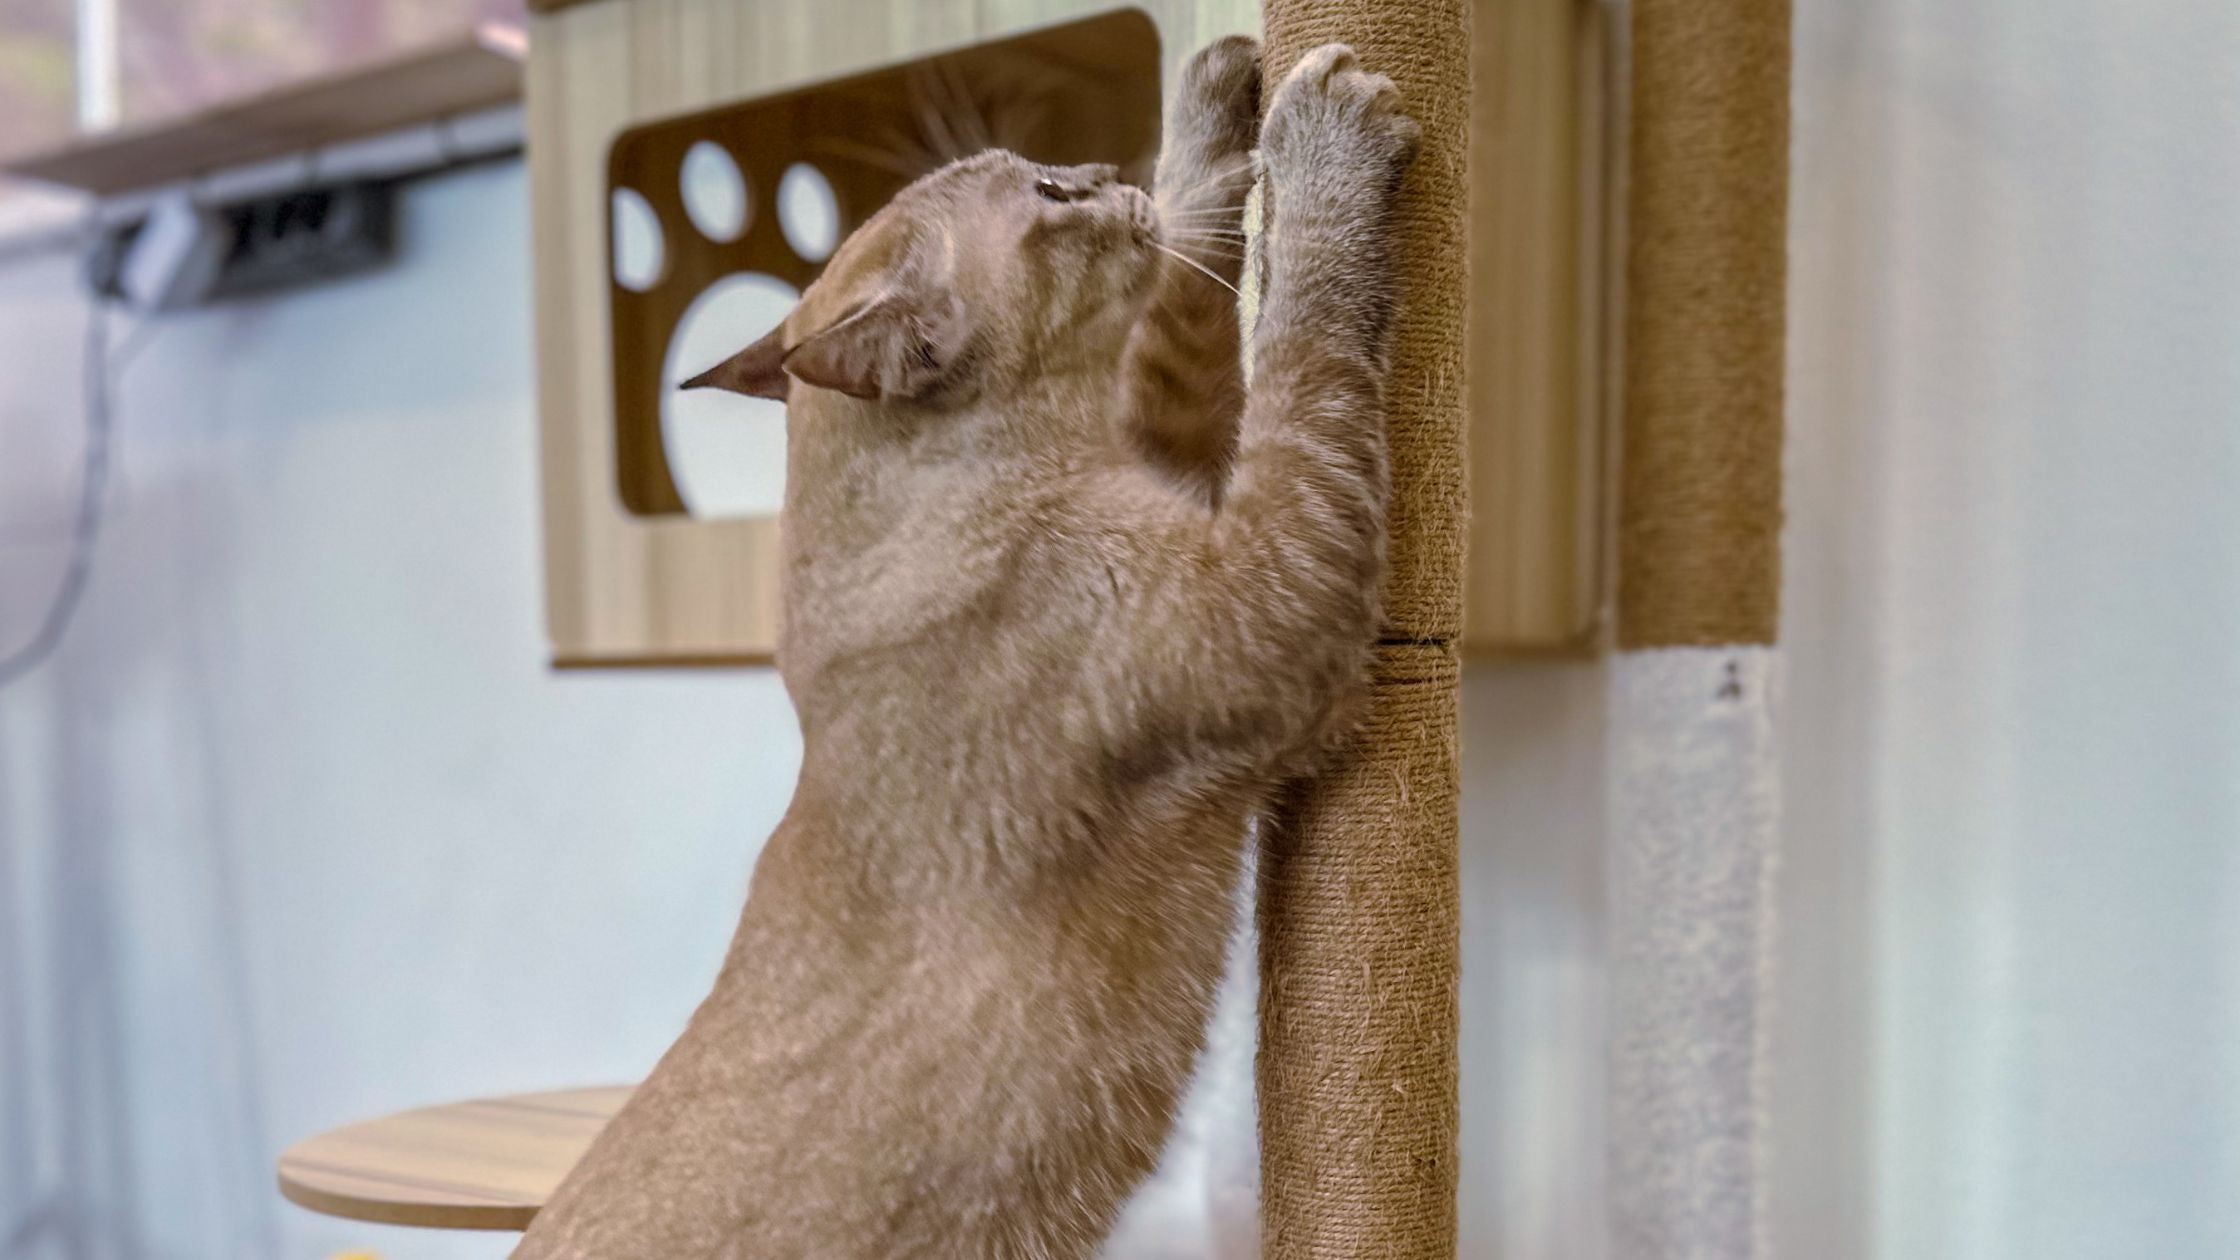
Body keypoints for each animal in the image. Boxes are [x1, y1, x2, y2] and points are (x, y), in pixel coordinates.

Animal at [512, 39, 1415, 1255]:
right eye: (1048, 196)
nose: (1095, 167)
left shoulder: (1179, 456)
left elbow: (1190, 287)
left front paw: (1212, 97)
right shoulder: (1278, 588)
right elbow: (1299, 339)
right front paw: (1319, 153)